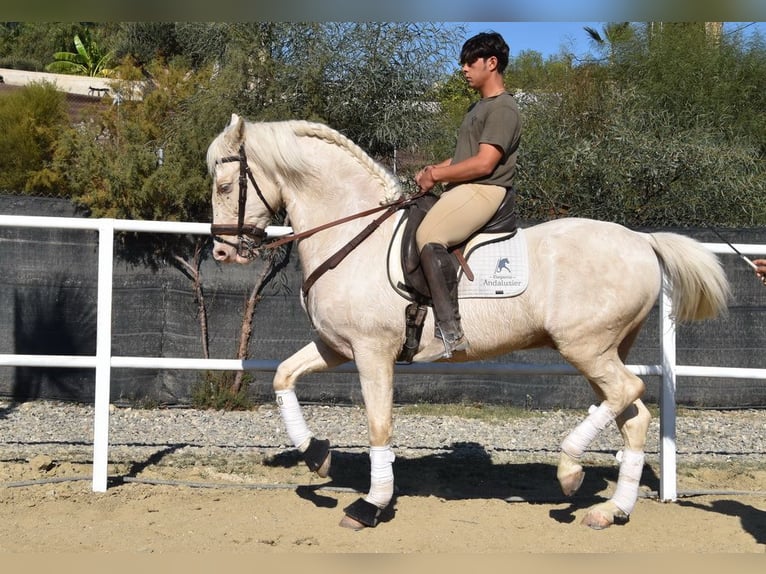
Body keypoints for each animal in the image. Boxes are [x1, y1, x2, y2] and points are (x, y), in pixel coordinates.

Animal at [208, 115, 732, 532]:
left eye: (225, 185)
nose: (222, 252)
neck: (352, 233)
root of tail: (642, 241)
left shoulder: (372, 353)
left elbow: (379, 425)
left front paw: (371, 505)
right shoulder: (337, 346)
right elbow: (283, 376)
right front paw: (316, 453)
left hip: (586, 348)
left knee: (629, 393)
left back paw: (569, 469)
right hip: (605, 350)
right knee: (634, 415)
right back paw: (611, 510)